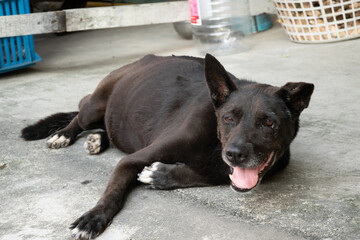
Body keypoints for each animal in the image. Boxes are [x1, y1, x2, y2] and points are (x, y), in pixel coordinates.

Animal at [21, 54, 314, 240]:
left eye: (269, 123)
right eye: (229, 118)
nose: (234, 154)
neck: (215, 140)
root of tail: (140, 60)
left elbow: (210, 173)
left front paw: (160, 175)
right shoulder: (130, 161)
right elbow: (112, 193)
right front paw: (93, 217)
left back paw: (97, 139)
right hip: (95, 105)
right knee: (79, 117)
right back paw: (63, 134)